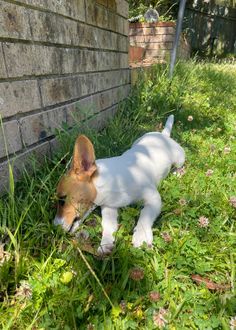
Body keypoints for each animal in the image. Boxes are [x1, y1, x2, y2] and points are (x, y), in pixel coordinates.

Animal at [54, 114, 185, 254]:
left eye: (62, 200)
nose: (54, 227)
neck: (114, 181)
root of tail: (163, 134)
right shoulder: (109, 208)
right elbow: (108, 224)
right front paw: (105, 243)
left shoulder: (154, 199)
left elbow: (145, 214)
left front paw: (142, 235)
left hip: (179, 158)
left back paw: (178, 173)